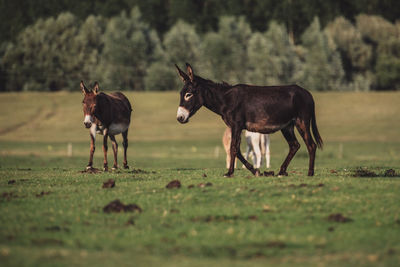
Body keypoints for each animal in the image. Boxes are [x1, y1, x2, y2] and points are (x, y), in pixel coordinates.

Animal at [175, 63, 322, 178]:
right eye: (181, 94)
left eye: (189, 94)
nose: (179, 118)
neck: (226, 100)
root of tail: (307, 93)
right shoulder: (237, 127)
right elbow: (238, 150)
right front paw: (255, 171)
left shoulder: (236, 125)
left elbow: (233, 148)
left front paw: (229, 173)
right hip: (287, 126)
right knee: (294, 145)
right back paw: (282, 171)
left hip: (301, 122)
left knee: (311, 145)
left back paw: (310, 173)